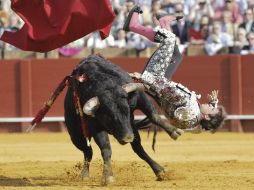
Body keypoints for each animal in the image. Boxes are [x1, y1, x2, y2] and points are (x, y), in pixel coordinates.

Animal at [63, 55, 183, 186]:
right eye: (109, 117)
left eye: (128, 111)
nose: (128, 138)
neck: (106, 85)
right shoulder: (95, 125)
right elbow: (106, 149)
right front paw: (108, 176)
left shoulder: (139, 98)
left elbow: (153, 116)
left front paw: (174, 131)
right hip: (76, 136)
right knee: (87, 152)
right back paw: (84, 175)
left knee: (138, 148)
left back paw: (158, 170)